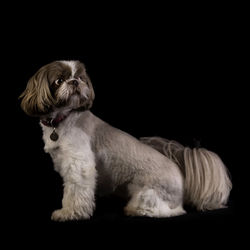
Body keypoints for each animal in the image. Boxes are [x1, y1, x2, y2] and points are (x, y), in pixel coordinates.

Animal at [20, 60, 232, 221]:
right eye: (59, 80)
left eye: (80, 78)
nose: (74, 82)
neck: (64, 118)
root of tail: (183, 176)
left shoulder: (78, 163)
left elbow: (75, 191)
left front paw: (69, 213)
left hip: (147, 193)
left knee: (169, 210)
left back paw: (136, 210)